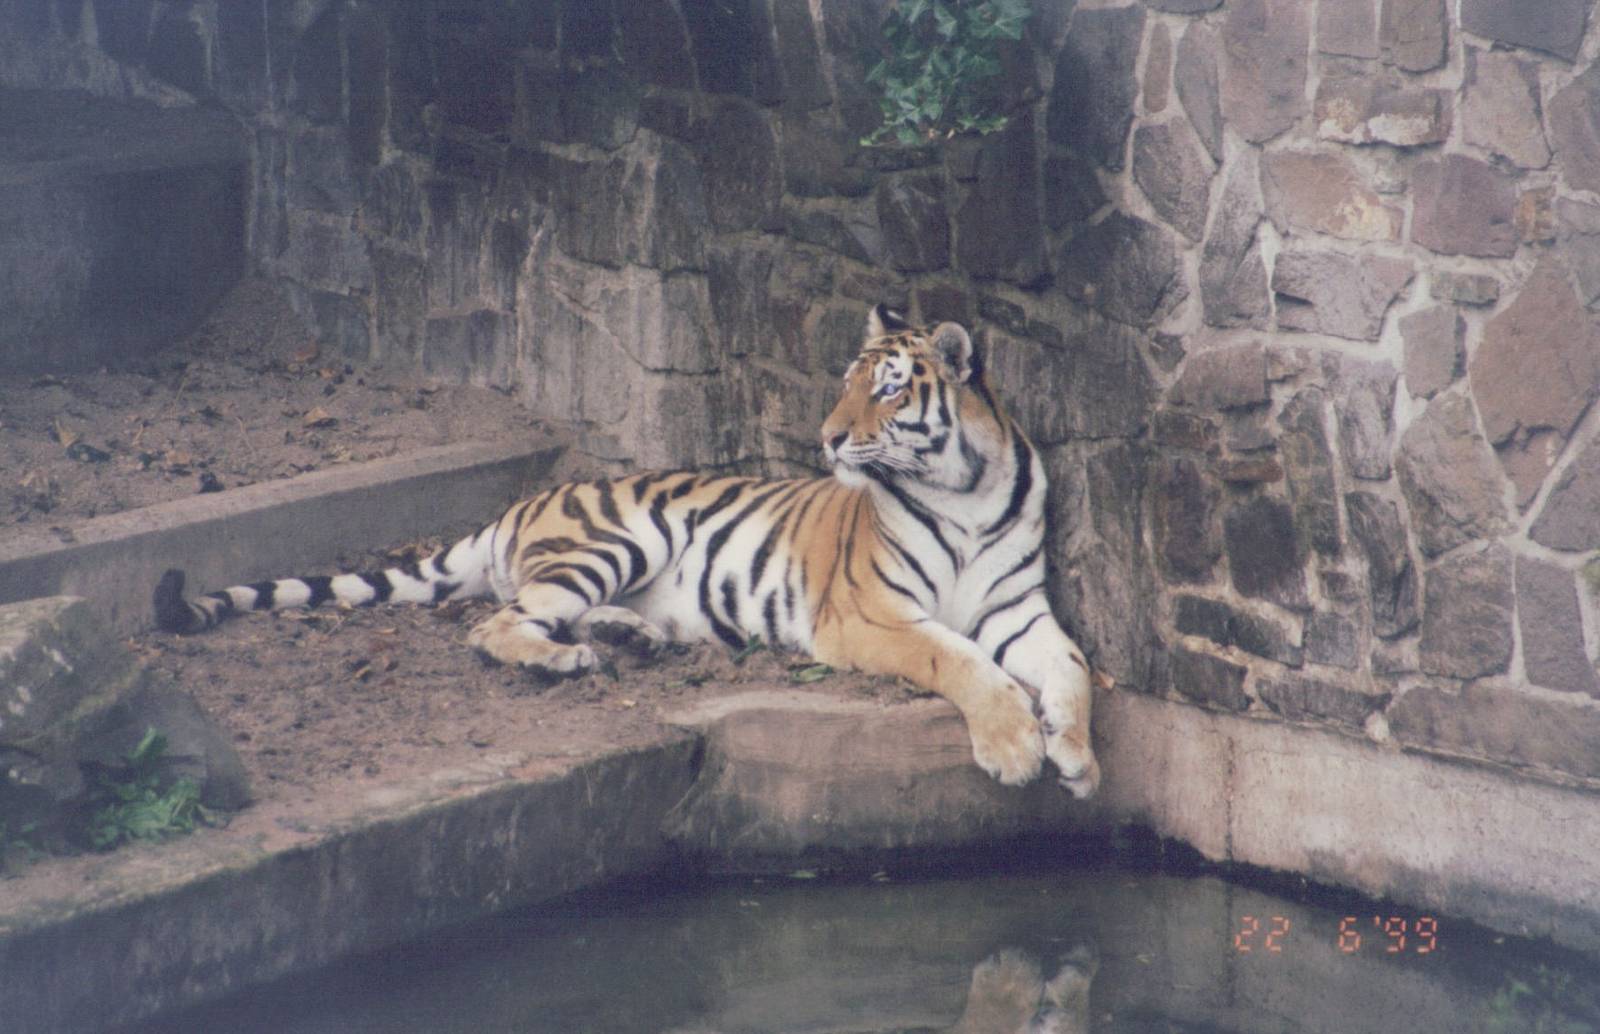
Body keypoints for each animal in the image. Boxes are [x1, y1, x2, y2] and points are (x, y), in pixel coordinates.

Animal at [154, 305, 1100, 795]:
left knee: (545, 614)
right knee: (494, 626)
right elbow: (962, 663)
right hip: (618, 539)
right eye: (845, 383)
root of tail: (524, 500)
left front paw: (1079, 759)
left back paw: (630, 638)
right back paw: (574, 661)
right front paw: (1016, 748)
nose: (828, 436)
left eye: (889, 390)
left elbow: (1072, 669)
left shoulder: (1023, 614)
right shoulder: (872, 616)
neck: (963, 488)